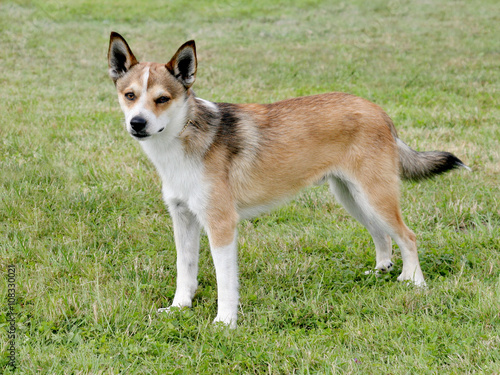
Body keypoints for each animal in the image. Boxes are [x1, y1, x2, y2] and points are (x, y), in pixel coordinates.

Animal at [106, 32, 468, 328]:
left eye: (162, 99)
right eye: (129, 95)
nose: (137, 123)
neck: (185, 137)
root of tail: (378, 111)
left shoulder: (221, 224)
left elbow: (225, 282)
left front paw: (225, 322)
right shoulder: (183, 219)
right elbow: (186, 271)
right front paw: (180, 308)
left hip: (375, 196)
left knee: (408, 236)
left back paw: (413, 281)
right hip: (353, 198)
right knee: (383, 237)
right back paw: (381, 271)